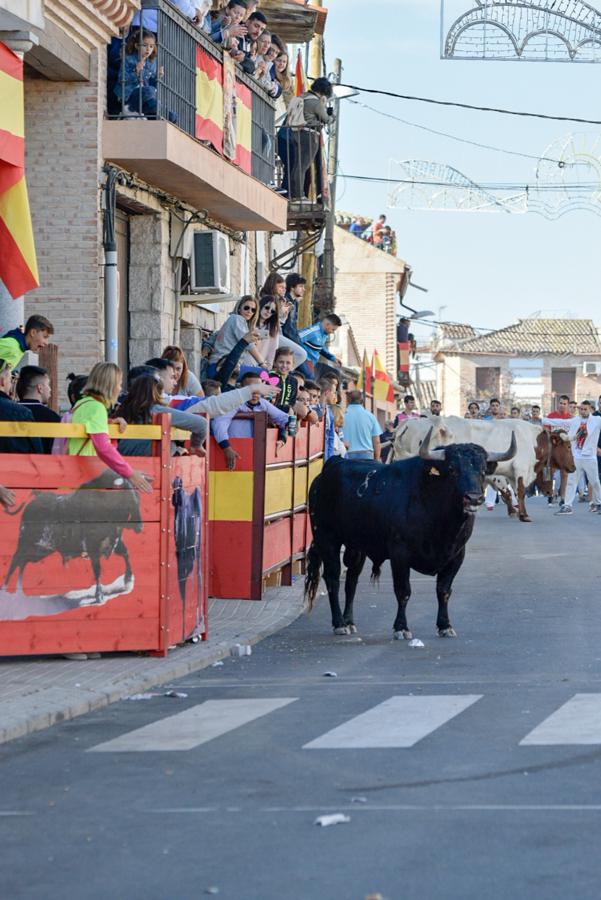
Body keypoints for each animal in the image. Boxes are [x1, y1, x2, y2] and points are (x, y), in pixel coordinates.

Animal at [4, 472, 142, 604]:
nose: (139, 527)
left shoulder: (115, 541)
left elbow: (126, 553)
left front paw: (128, 580)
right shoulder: (92, 547)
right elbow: (97, 569)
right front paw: (99, 595)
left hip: (39, 550)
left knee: (23, 562)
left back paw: (18, 592)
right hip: (26, 543)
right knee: (15, 560)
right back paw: (5, 589)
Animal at [304, 430, 516, 636]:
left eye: (482, 470)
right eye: (452, 469)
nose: (473, 498)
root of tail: (331, 466)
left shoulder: (456, 556)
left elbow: (443, 591)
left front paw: (445, 625)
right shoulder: (400, 555)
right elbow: (403, 591)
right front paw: (401, 627)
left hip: (356, 546)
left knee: (351, 580)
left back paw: (349, 622)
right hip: (326, 539)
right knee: (332, 578)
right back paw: (339, 623)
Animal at [390, 414, 572, 520]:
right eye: (569, 446)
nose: (573, 467)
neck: (533, 440)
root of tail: (408, 423)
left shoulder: (499, 473)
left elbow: (508, 492)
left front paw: (514, 511)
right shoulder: (519, 469)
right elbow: (518, 492)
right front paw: (523, 514)